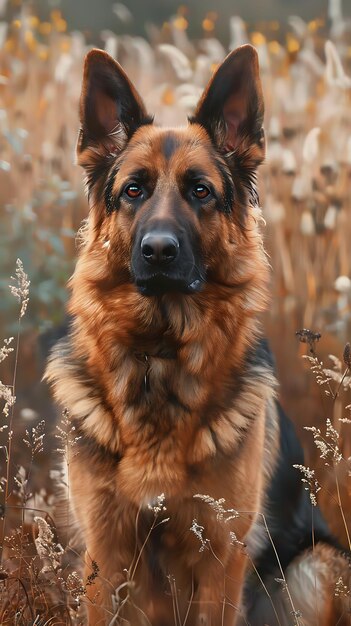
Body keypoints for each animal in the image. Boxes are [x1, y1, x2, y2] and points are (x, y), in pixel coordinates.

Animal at [45, 45, 350, 624]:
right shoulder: (106, 554)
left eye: (201, 191)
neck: (161, 355)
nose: (159, 251)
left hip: (317, 566)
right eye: (133, 190)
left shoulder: (220, 561)